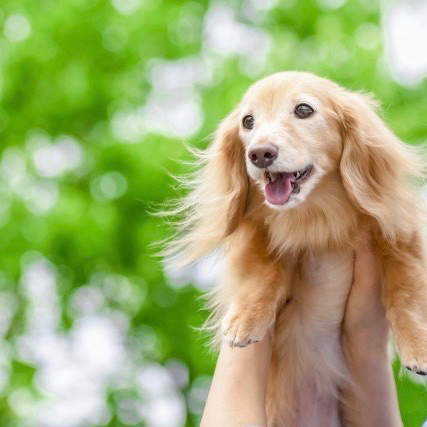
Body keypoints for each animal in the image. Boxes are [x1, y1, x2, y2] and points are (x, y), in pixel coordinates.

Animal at [164, 72, 427, 426]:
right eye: (248, 121)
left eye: (304, 110)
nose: (259, 154)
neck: (315, 219)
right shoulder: (257, 235)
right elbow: (264, 270)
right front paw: (247, 319)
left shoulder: (402, 237)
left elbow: (406, 293)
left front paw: (418, 346)